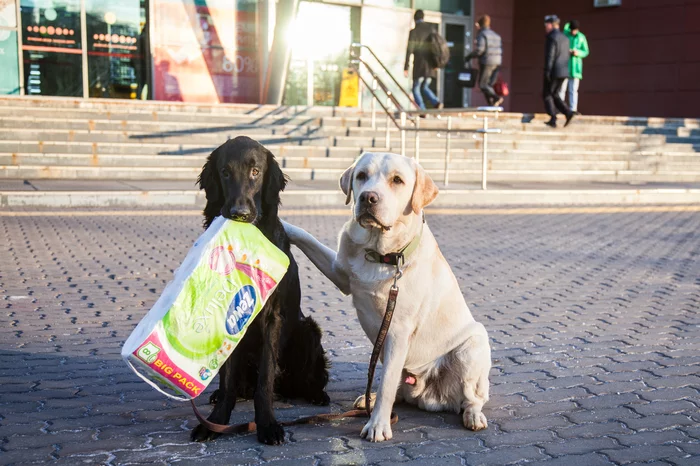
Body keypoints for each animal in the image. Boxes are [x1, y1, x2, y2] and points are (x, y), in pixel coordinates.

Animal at [191, 136, 330, 444]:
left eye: (256, 172)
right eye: (225, 172)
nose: (239, 214)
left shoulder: (272, 317)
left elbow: (265, 379)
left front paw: (267, 424)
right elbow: (228, 380)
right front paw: (215, 422)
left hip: (308, 331)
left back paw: (317, 394)